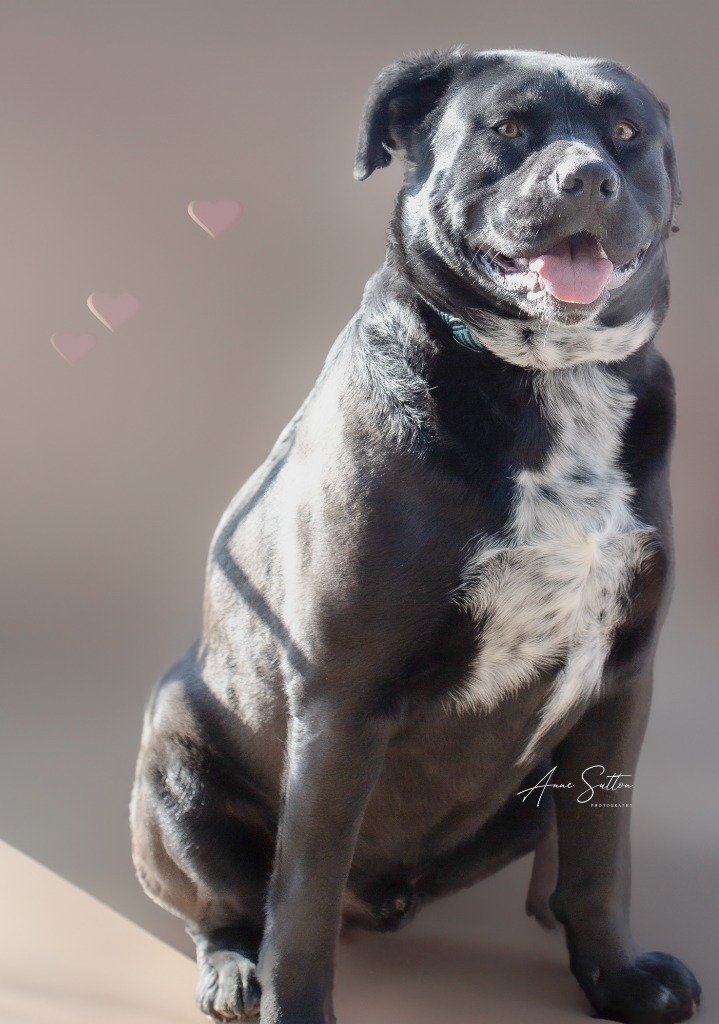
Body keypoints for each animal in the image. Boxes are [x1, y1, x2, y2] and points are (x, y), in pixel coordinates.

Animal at [131, 48, 704, 1024]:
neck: (547, 377)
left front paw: (618, 980)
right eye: (507, 127)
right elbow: (301, 896)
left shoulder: (622, 678)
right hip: (173, 745)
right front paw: (293, 1005)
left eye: (625, 133)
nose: (587, 177)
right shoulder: (341, 697)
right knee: (225, 902)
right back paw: (233, 967)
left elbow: (600, 864)